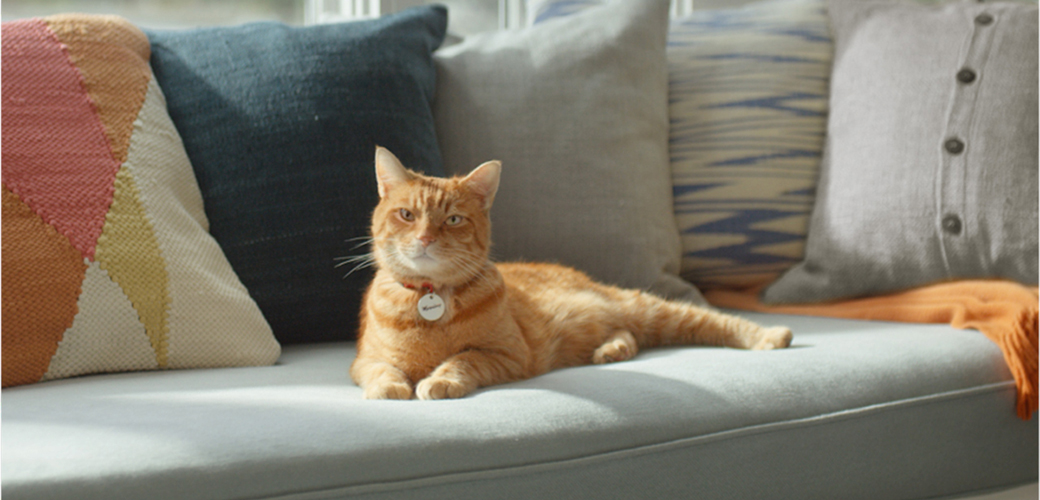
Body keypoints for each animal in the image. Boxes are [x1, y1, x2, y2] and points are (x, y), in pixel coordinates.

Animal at [351, 146, 794, 399]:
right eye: (407, 215)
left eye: (454, 220)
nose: (425, 237)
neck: (431, 301)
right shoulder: (363, 361)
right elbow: (380, 369)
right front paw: (390, 387)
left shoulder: (508, 355)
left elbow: (463, 360)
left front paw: (440, 379)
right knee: (628, 333)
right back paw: (612, 349)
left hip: (648, 308)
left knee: (712, 319)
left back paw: (772, 336)